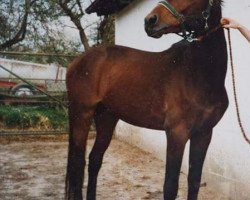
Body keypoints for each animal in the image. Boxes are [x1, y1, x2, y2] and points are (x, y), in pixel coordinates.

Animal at [65, 0, 229, 200]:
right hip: (82, 113)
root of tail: (77, 61)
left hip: (106, 118)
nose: (150, 20)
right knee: (77, 165)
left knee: (95, 159)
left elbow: (194, 181)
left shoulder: (204, 134)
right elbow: (170, 186)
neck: (199, 75)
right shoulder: (177, 133)